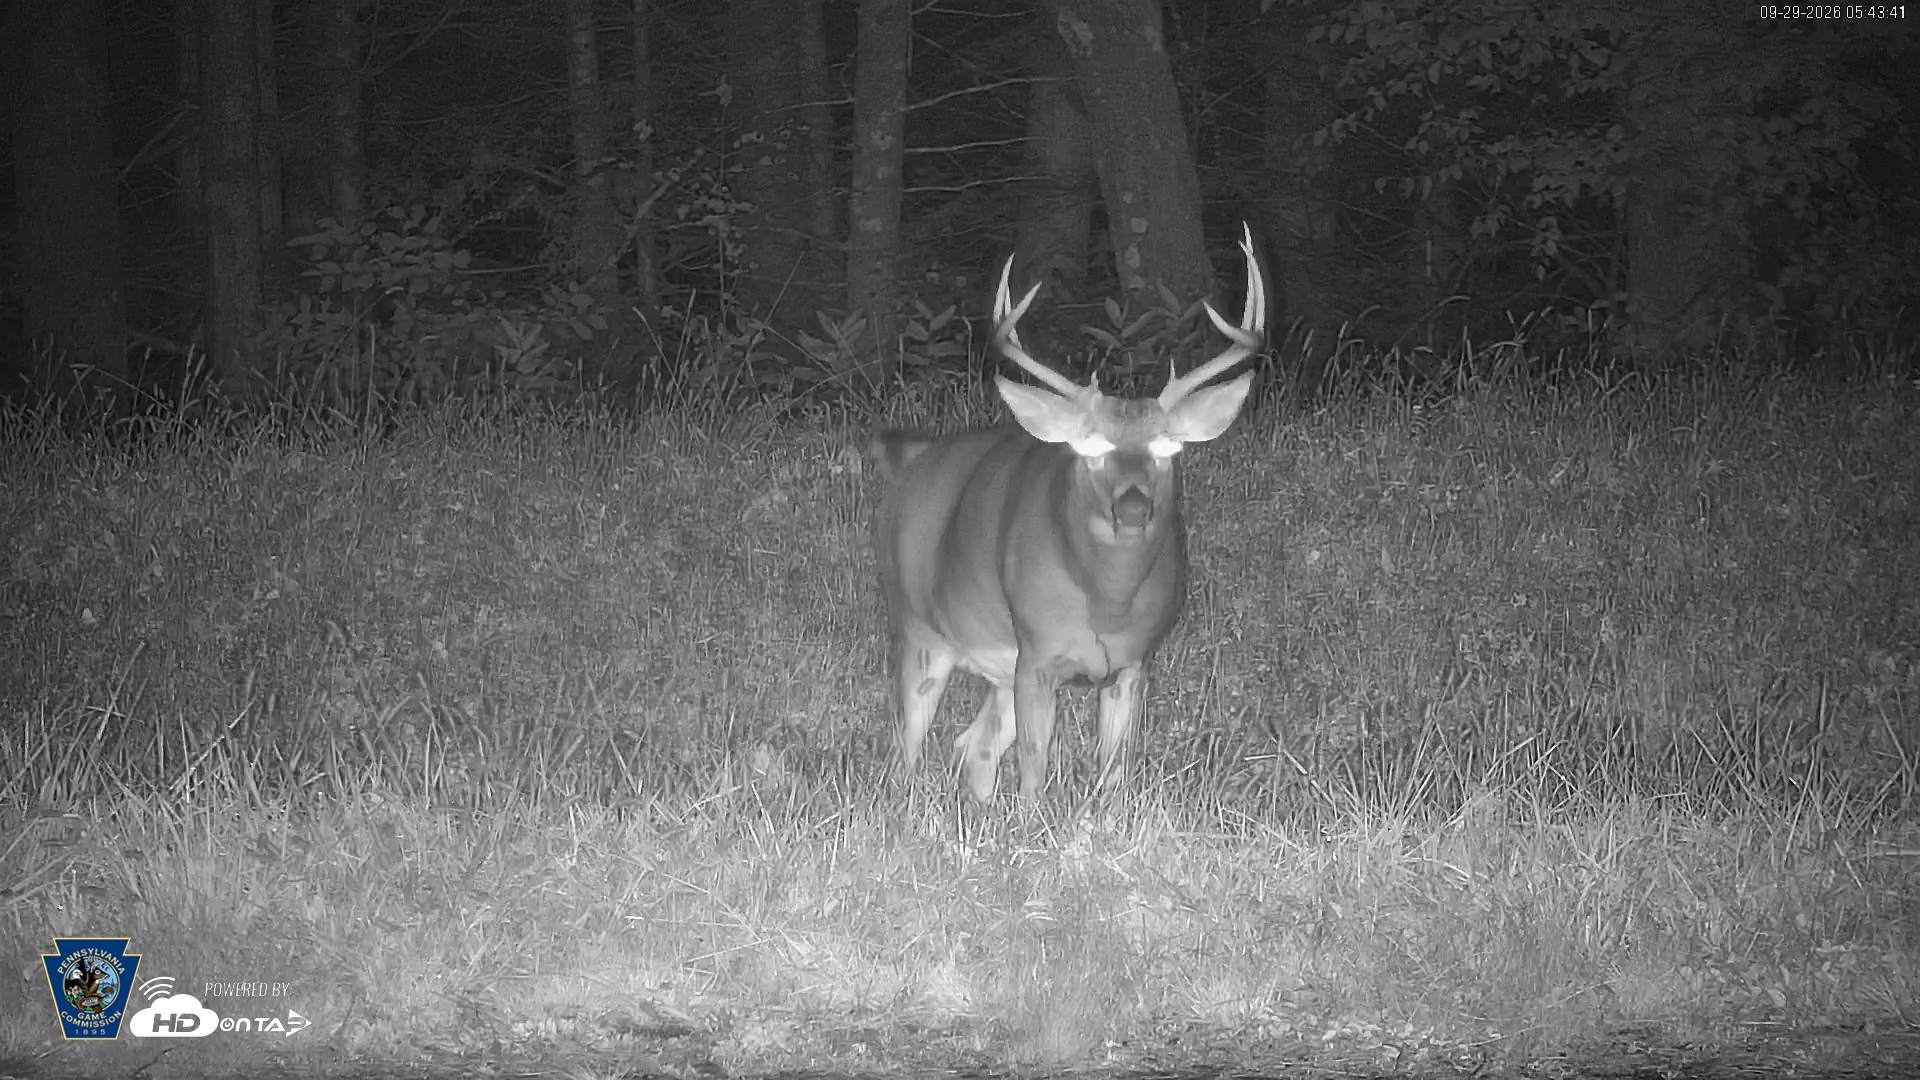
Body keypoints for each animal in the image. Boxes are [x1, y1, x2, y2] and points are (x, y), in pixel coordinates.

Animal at [870, 225, 1266, 800]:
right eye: (1091, 445)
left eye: (1168, 448)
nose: (1133, 505)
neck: (1108, 603)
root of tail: (910, 461)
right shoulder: (1037, 653)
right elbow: (1035, 771)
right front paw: (1034, 820)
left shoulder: (1132, 664)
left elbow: (1114, 771)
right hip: (919, 627)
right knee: (907, 748)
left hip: (995, 664)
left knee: (975, 745)